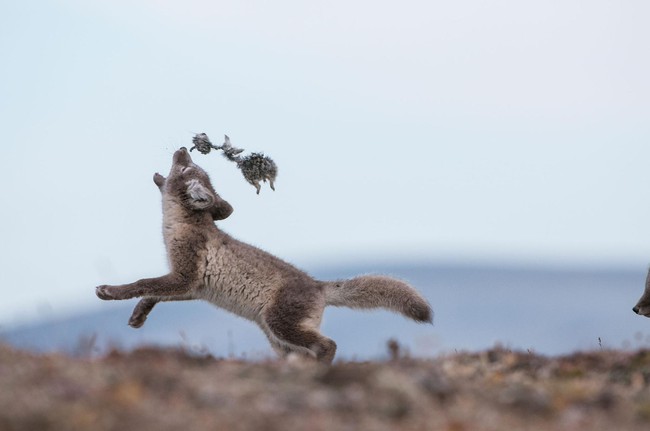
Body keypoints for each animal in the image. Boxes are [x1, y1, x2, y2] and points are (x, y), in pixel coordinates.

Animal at [96, 148, 430, 364]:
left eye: (185, 168)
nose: (182, 148)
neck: (182, 224)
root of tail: (319, 286)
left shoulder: (184, 276)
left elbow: (142, 283)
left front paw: (110, 291)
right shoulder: (192, 288)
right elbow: (153, 294)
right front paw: (138, 315)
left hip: (279, 325)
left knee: (329, 345)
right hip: (279, 340)